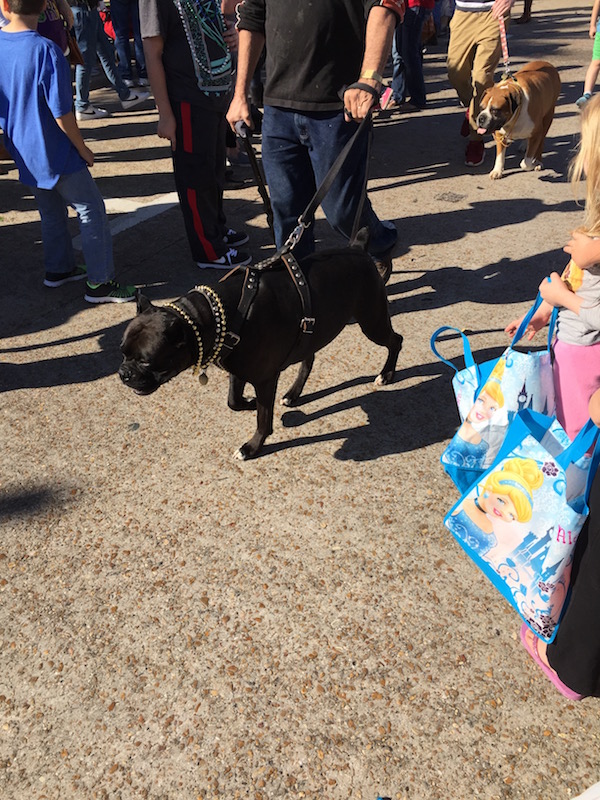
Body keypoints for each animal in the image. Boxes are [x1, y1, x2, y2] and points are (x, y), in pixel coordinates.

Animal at [119, 238, 404, 460]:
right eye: (122, 352)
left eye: (146, 361)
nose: (123, 373)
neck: (213, 314)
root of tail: (357, 247)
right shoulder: (237, 368)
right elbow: (233, 402)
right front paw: (250, 402)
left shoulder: (265, 378)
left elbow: (262, 419)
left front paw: (252, 446)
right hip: (313, 330)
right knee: (308, 358)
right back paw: (293, 393)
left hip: (372, 321)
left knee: (396, 340)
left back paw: (386, 374)